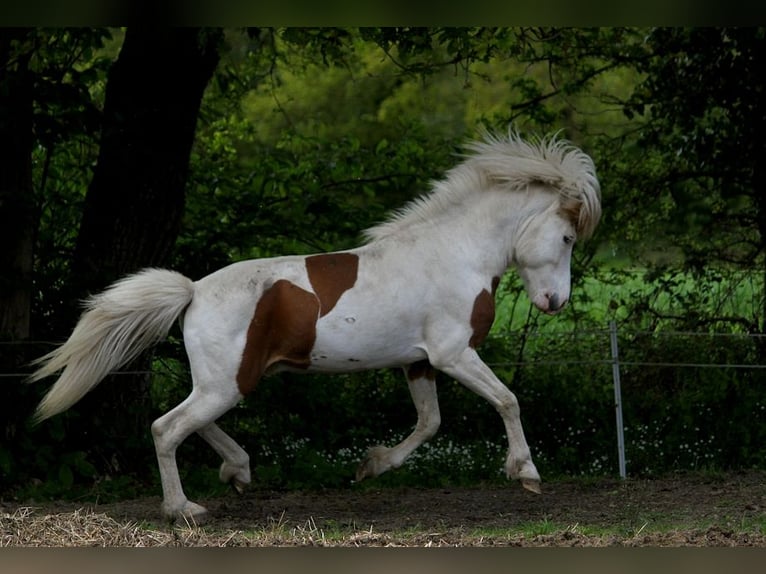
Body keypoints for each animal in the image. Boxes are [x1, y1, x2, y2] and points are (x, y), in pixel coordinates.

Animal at [30, 130, 604, 520]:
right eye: (567, 239)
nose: (555, 302)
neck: (455, 254)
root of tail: (193, 292)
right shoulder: (453, 353)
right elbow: (507, 400)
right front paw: (526, 473)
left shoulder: (420, 362)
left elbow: (429, 423)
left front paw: (371, 466)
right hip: (226, 383)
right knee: (166, 428)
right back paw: (183, 510)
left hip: (227, 381)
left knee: (190, 422)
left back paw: (238, 471)